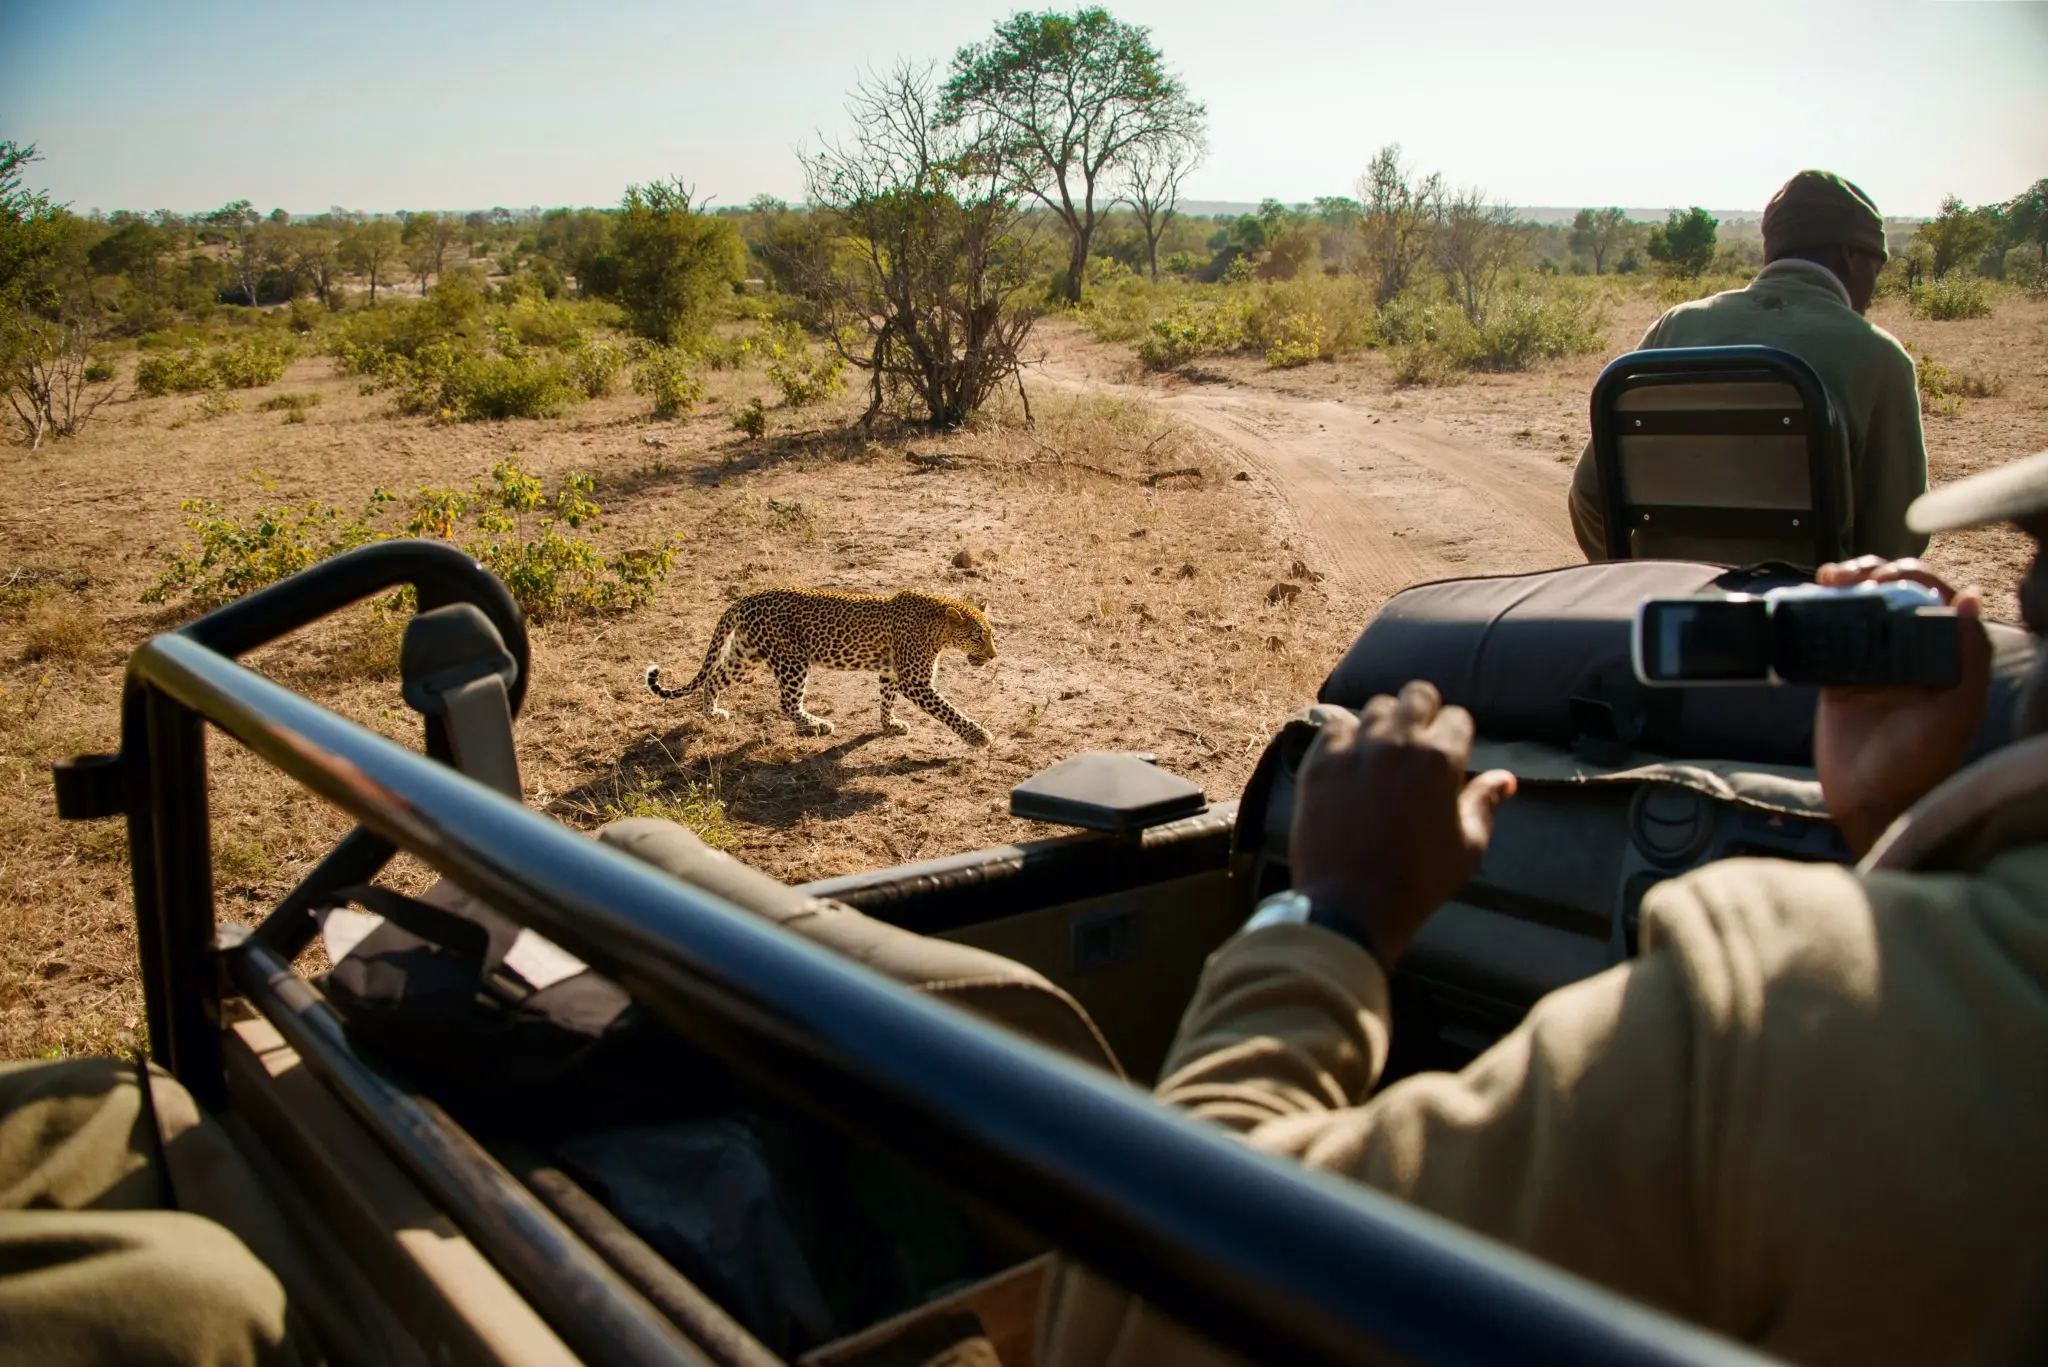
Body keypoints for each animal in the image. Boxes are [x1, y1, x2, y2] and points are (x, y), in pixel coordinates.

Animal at [646, 588, 997, 746]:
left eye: (990, 634)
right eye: (977, 636)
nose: (994, 655)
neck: (938, 628)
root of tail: (746, 598)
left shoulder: (890, 672)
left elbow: (886, 699)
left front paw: (890, 724)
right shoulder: (914, 680)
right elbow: (948, 710)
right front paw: (977, 735)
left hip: (746, 654)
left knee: (714, 678)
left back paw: (712, 714)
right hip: (791, 660)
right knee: (787, 703)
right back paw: (816, 724)